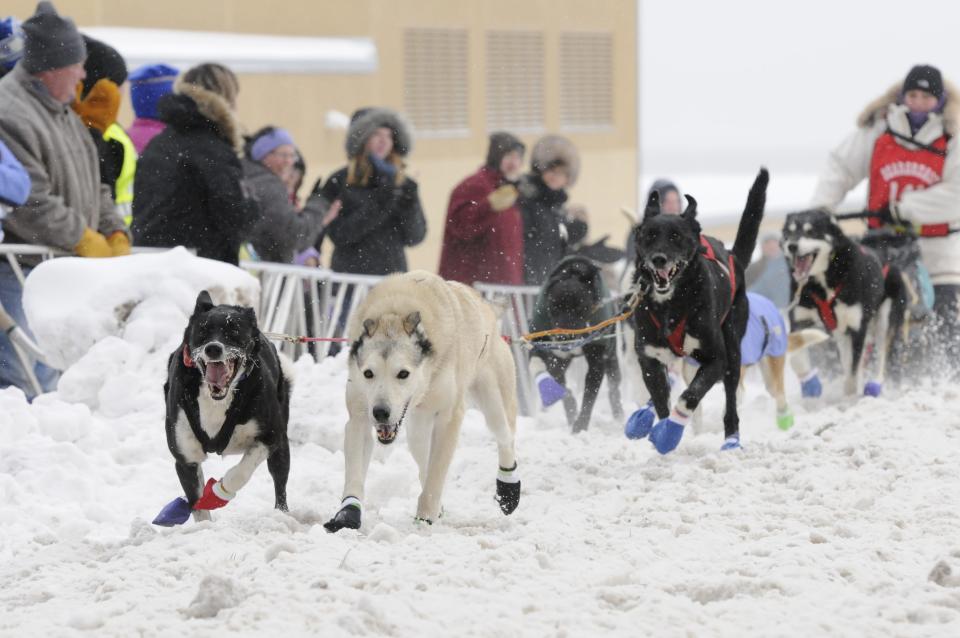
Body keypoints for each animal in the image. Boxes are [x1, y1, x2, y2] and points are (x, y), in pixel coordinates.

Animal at [324, 272, 520, 532]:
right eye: (368, 373)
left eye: (403, 373)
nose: (380, 412)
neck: (393, 315)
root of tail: (486, 308)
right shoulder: (359, 417)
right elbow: (355, 472)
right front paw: (348, 514)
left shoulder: (448, 418)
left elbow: (436, 474)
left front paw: (425, 515)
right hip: (418, 428)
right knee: (423, 456)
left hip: (494, 406)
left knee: (506, 438)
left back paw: (509, 489)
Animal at [628, 168, 768, 452]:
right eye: (650, 235)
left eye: (675, 236)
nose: (659, 259)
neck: (670, 305)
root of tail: (732, 256)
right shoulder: (649, 359)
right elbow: (661, 401)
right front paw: (661, 429)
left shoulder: (715, 359)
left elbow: (690, 396)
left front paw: (671, 431)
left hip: (732, 352)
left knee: (730, 403)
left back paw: (731, 440)